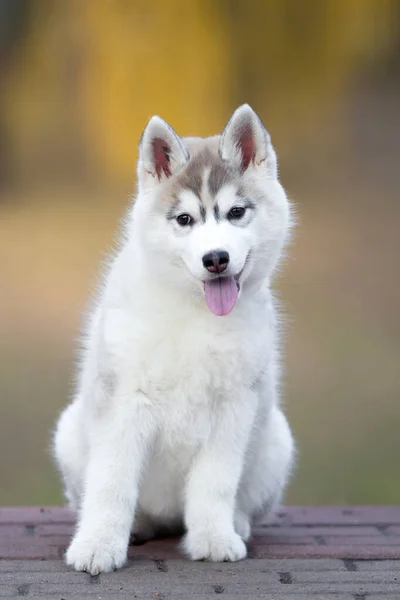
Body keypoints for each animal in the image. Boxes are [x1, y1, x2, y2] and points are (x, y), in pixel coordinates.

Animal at [54, 105, 294, 576]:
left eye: (236, 212)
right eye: (185, 220)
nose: (216, 259)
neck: (195, 311)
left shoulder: (234, 406)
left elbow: (215, 483)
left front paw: (214, 537)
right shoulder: (123, 399)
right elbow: (110, 483)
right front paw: (97, 545)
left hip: (276, 441)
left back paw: (237, 523)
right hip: (69, 433)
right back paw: (137, 526)